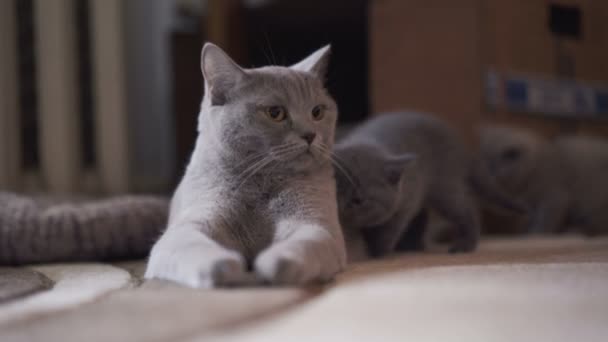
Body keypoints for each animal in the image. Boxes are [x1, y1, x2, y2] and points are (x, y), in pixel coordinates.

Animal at [144, 43, 346, 288]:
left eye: (317, 112)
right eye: (275, 113)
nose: (310, 135)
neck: (260, 184)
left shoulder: (316, 224)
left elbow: (303, 244)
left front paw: (271, 264)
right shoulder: (188, 226)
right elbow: (194, 246)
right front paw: (225, 267)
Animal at [334, 111, 524, 256]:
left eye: (358, 200)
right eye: (335, 192)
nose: (340, 209)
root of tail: (460, 144)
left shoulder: (405, 204)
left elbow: (390, 231)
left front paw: (379, 252)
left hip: (444, 186)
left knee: (466, 209)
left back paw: (464, 245)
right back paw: (415, 246)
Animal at [480, 125, 608, 235]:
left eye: (491, 167)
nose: (487, 175)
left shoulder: (555, 198)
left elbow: (544, 221)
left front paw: (535, 235)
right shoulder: (531, 205)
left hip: (594, 205)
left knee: (595, 227)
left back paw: (573, 232)